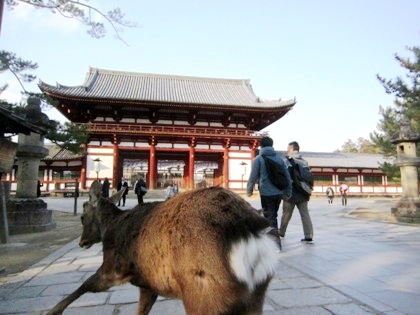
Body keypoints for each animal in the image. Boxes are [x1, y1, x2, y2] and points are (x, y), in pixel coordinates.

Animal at [48, 181, 278, 315]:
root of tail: (246, 230)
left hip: (205, 292)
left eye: (82, 216)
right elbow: (141, 310)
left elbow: (85, 284)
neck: (110, 227)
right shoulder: (148, 283)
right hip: (255, 295)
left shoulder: (114, 267)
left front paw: (52, 311)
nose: (82, 242)